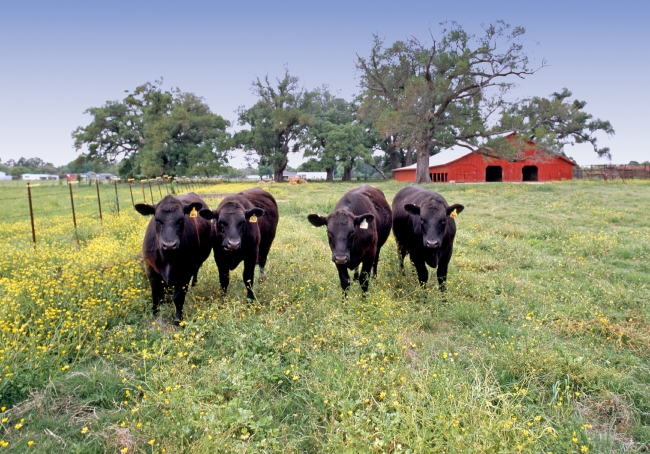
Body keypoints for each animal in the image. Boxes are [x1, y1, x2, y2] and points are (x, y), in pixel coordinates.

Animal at [134, 192, 210, 322]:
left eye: (180, 220)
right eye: (157, 220)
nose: (169, 245)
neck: (168, 259)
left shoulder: (186, 271)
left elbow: (178, 297)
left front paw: (178, 320)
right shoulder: (150, 267)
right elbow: (156, 294)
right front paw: (155, 314)